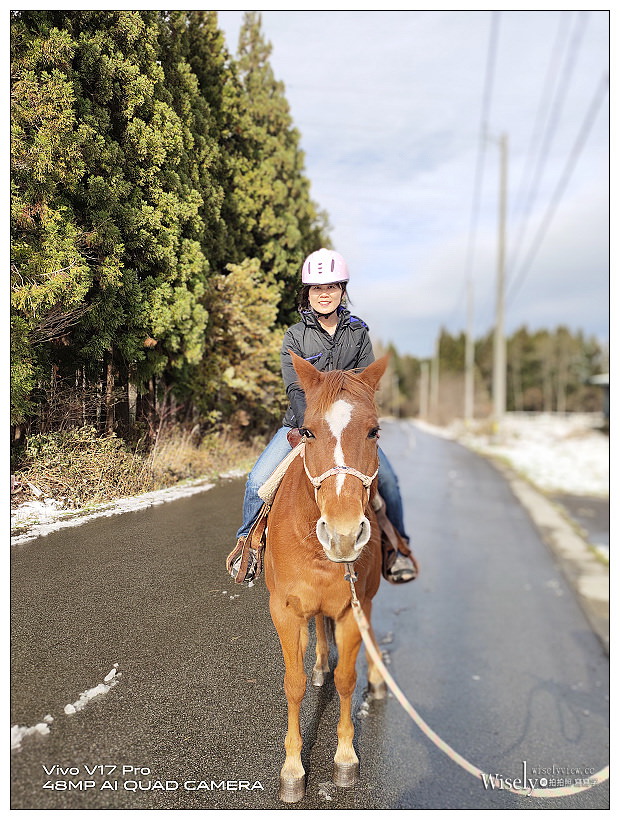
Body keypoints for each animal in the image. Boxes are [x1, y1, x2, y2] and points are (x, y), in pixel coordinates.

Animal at [264, 352, 389, 802]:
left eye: (374, 431)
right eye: (308, 431)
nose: (344, 533)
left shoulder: (353, 609)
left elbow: (347, 679)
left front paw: (345, 758)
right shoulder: (285, 611)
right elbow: (294, 683)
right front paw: (292, 767)